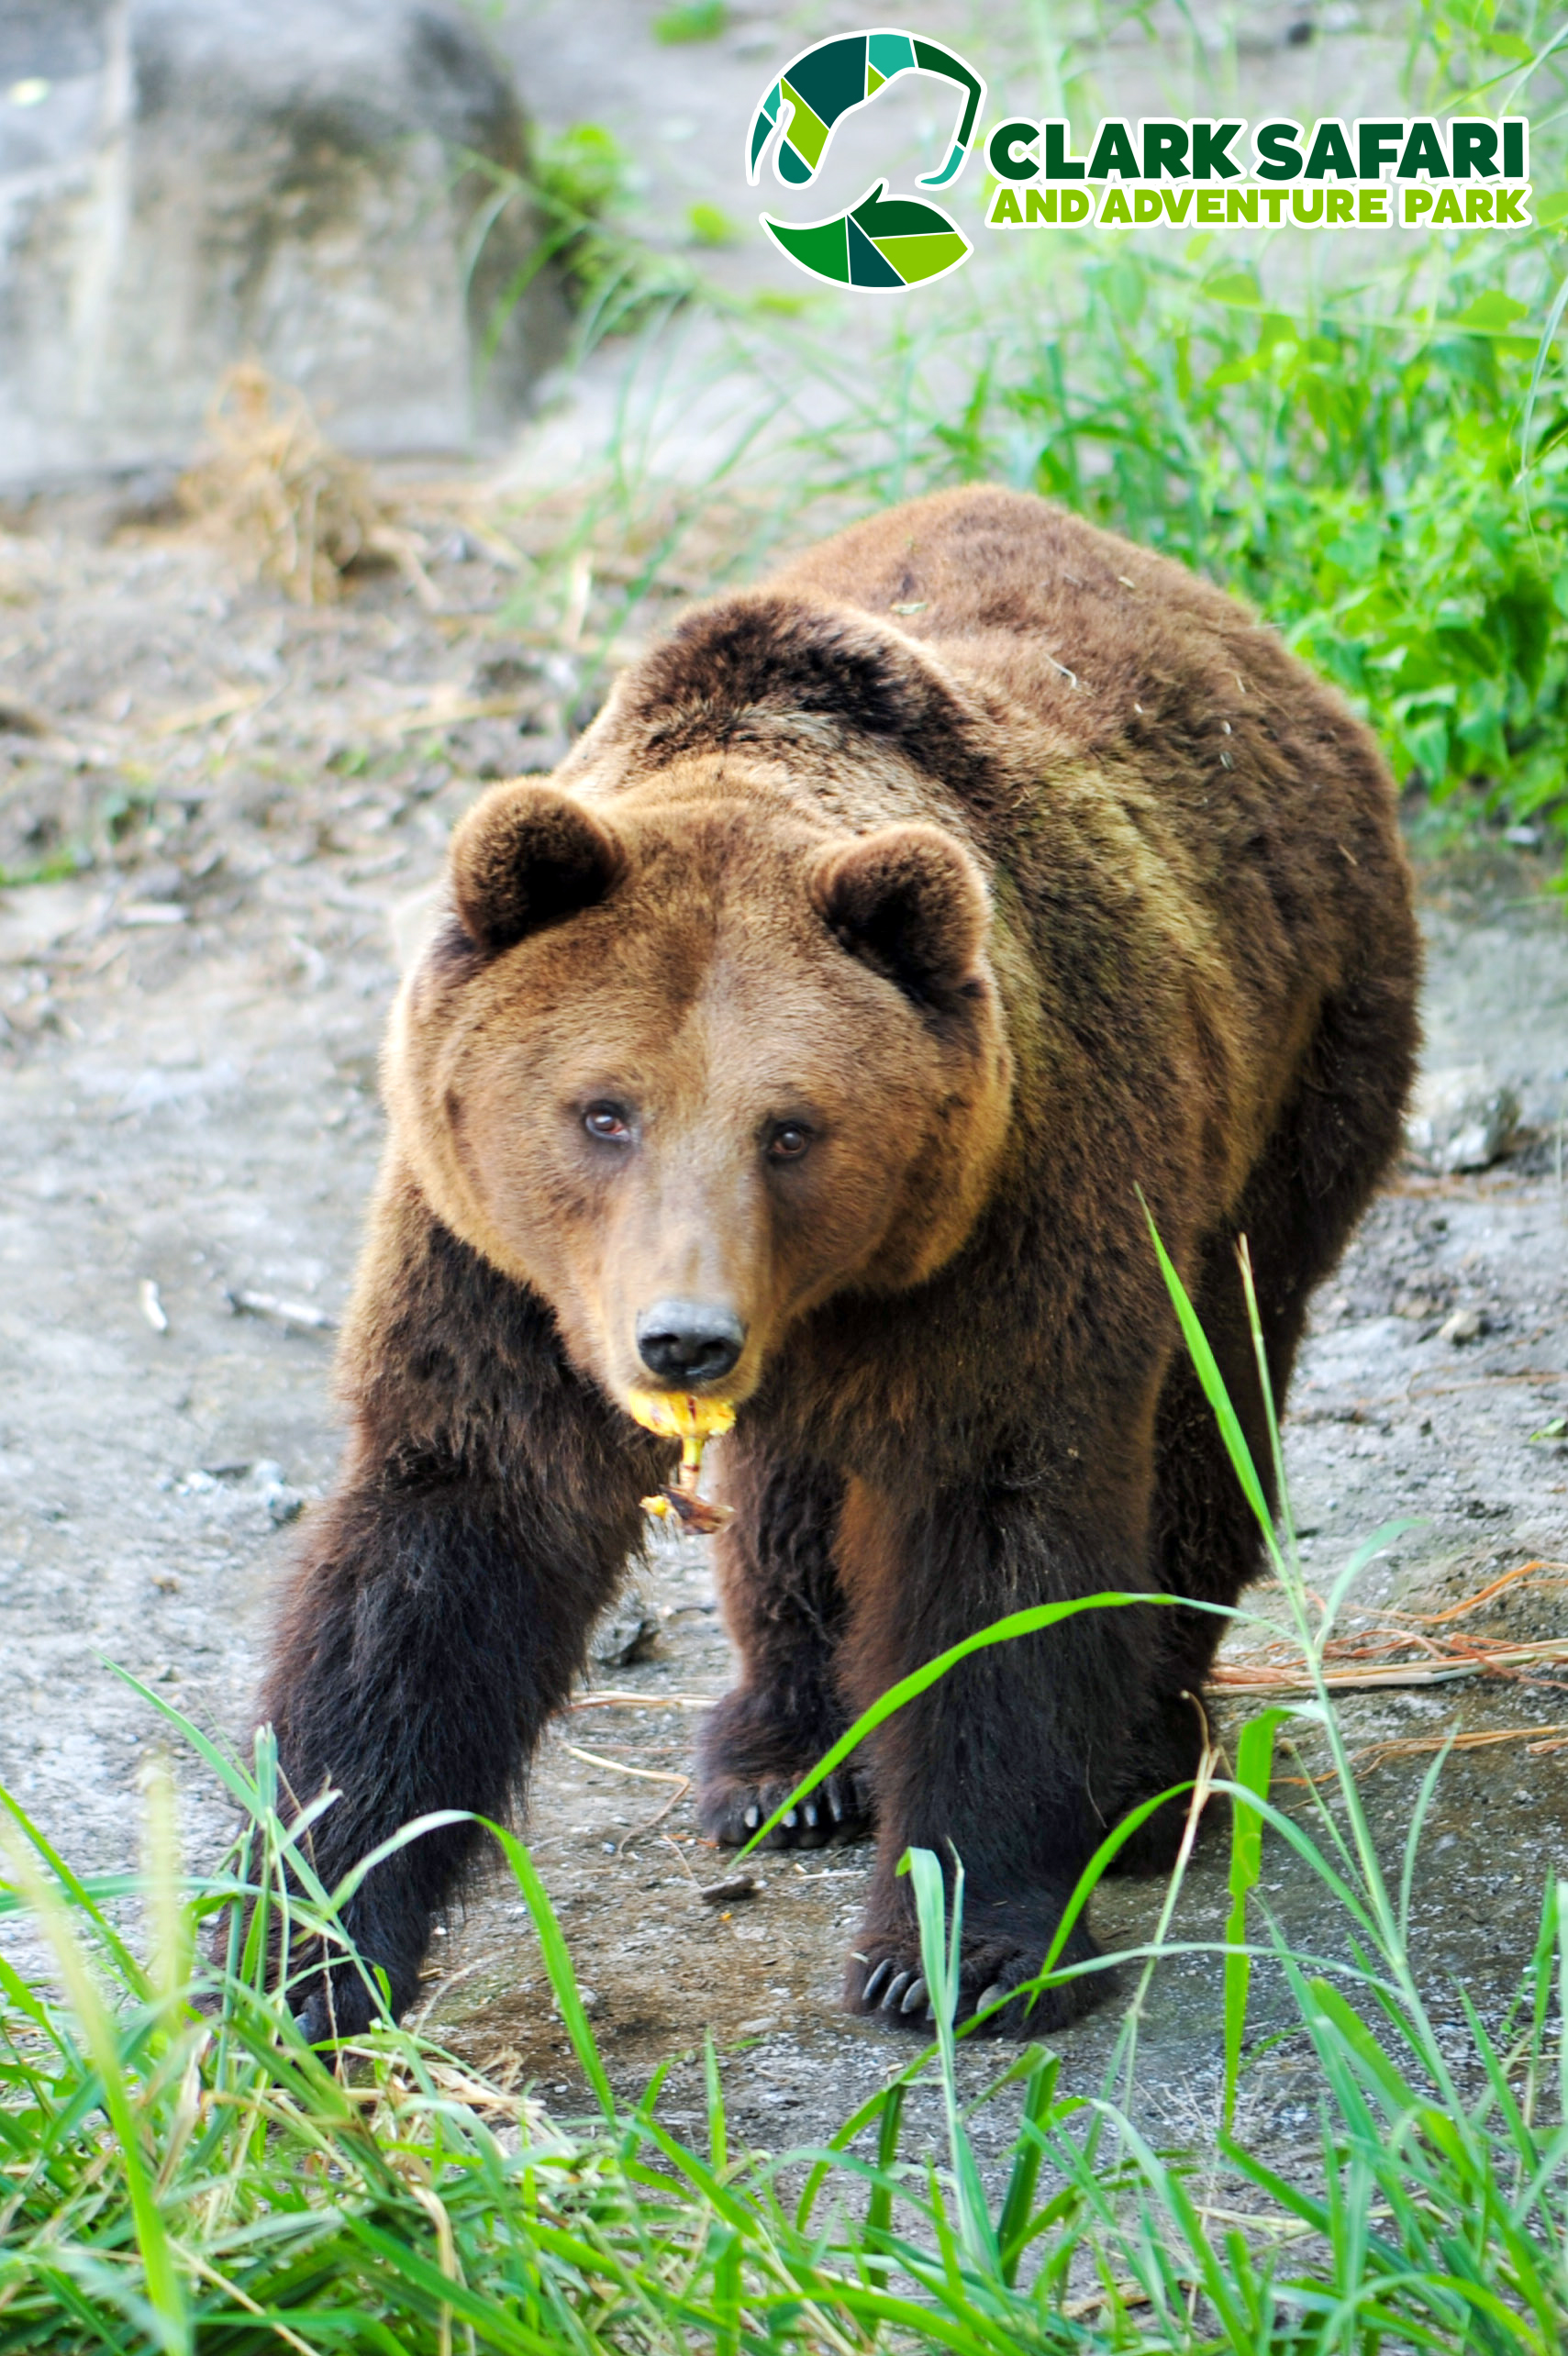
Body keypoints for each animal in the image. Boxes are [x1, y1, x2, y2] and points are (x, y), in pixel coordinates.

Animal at [259, 483, 1414, 2045]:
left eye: (791, 1126)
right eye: (603, 1110)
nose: (683, 1339)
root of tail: (1245, 634)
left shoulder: (1018, 1215)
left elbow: (1003, 1541)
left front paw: (961, 1942)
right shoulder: (498, 1273)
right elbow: (440, 1554)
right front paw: (299, 1949)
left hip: (1290, 1085)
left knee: (1204, 1416)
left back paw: (1138, 1771)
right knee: (789, 1502)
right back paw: (784, 1764)